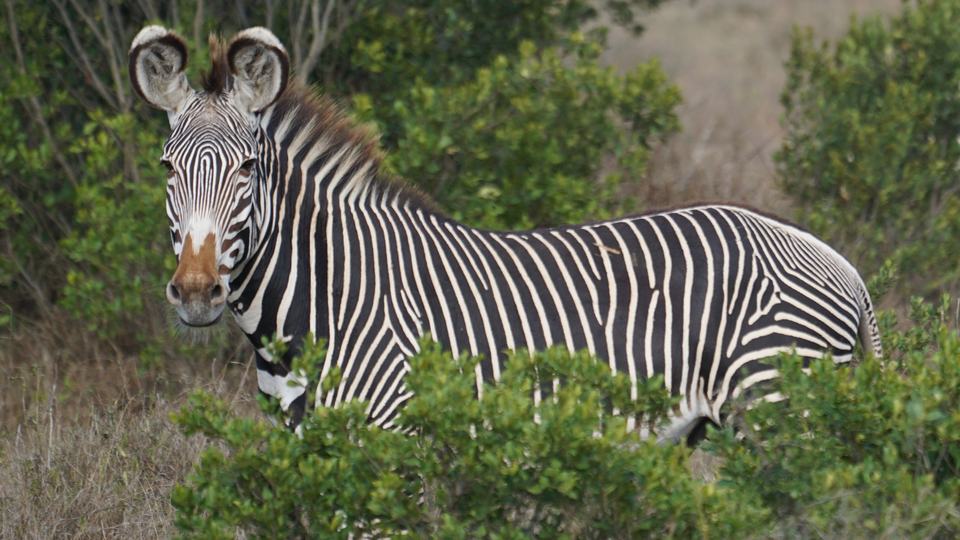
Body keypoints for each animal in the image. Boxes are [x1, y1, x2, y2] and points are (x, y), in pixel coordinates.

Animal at [129, 26, 882, 442]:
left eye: (248, 168)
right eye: (166, 167)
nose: (196, 292)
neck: (328, 296)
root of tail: (842, 266)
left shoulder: (392, 437)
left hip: (778, 404)